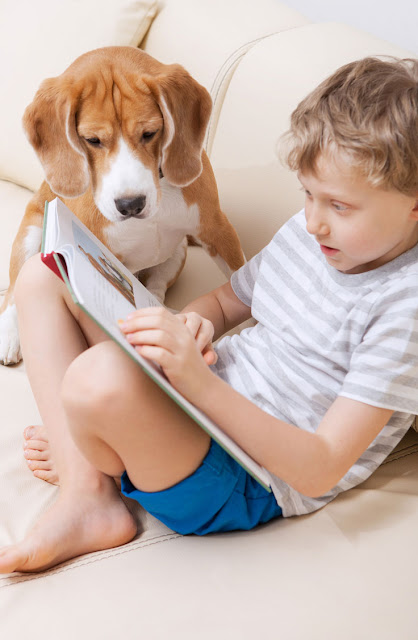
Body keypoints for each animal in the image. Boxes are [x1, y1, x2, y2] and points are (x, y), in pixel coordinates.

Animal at [0, 45, 245, 364]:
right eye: (92, 139)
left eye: (150, 133)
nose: (131, 204)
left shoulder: (217, 228)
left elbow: (241, 274)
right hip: (32, 234)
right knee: (14, 290)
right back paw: (10, 335)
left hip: (178, 252)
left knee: (155, 287)